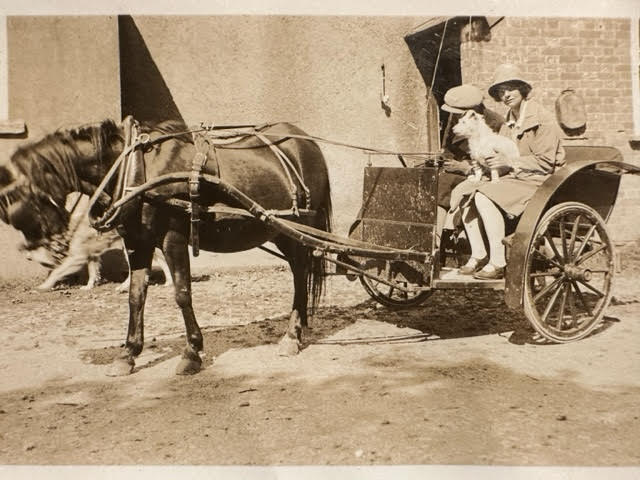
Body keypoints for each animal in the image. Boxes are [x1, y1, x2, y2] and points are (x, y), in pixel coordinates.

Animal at [0, 120, 330, 376]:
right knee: (300, 271)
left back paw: (292, 335)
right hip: (280, 231)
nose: (51, 251)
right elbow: (135, 296)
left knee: (300, 274)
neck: (136, 170)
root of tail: (305, 142)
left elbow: (182, 293)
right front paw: (128, 354)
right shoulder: (138, 243)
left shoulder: (173, 237)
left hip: (298, 228)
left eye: (13, 200)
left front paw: (192, 352)